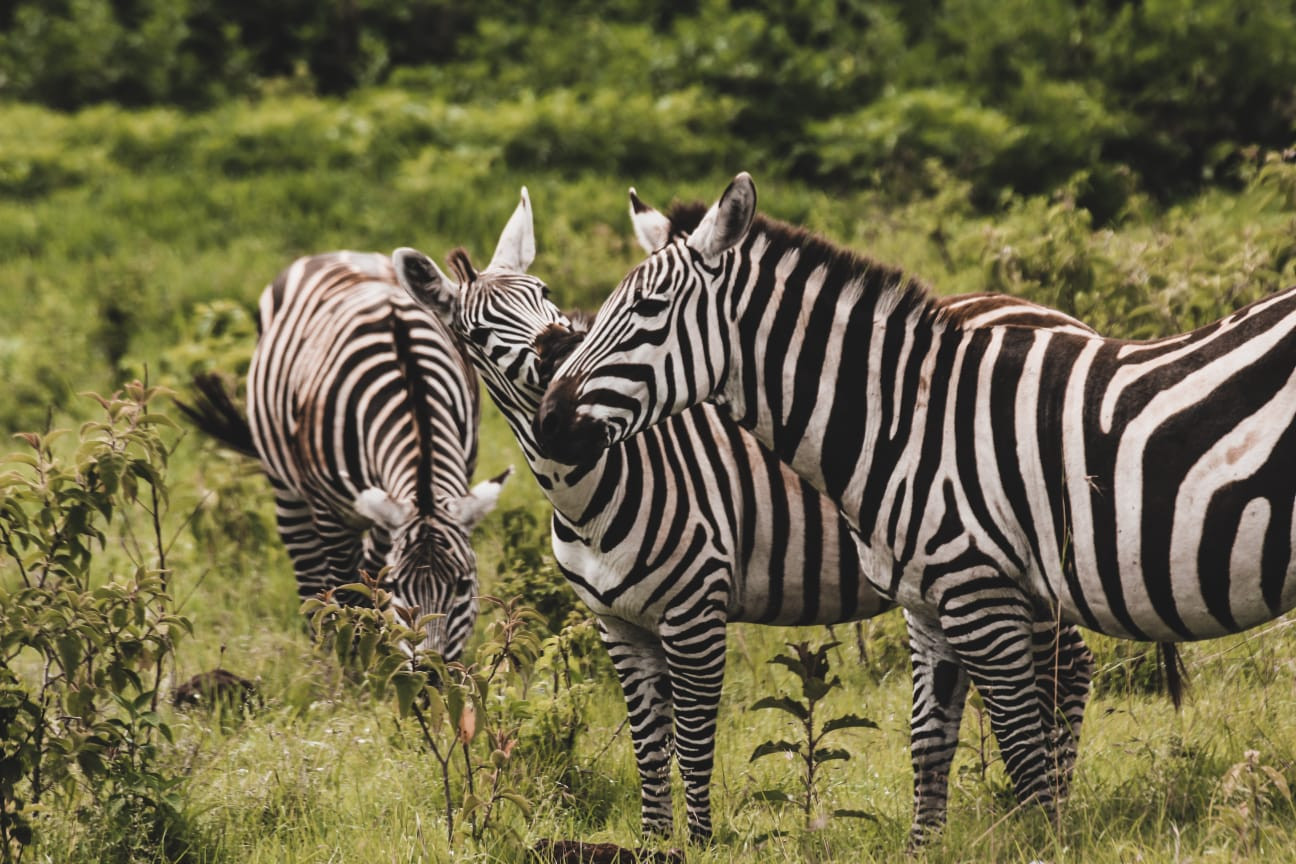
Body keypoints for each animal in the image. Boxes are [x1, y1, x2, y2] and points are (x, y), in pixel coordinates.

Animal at [176, 250, 505, 663]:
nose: (430, 672)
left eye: (463, 586)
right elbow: (351, 597)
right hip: (289, 491)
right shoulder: (331, 514)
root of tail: (333, 255)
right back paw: (322, 658)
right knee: (312, 584)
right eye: (399, 586)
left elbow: (370, 587)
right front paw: (357, 666)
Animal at [388, 189, 1099, 844]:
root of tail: (1062, 317)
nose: (559, 348)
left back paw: (1055, 806)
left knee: (1066, 668)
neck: (594, 485)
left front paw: (700, 844)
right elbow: (648, 751)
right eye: (478, 336)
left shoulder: (695, 609)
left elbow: (693, 742)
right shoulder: (616, 625)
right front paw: (655, 842)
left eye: (545, 293)